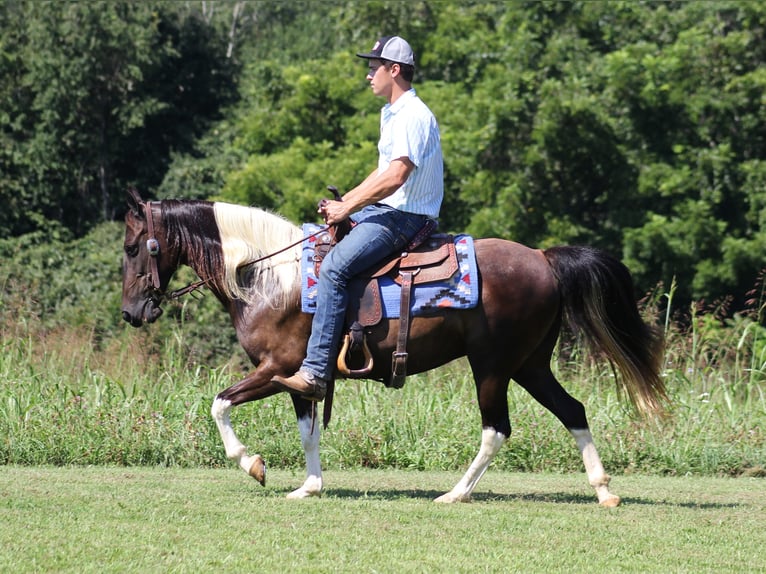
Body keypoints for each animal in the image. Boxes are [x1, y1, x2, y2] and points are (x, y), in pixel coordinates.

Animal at [120, 190, 664, 508]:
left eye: (132, 247)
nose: (131, 312)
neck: (267, 277)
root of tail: (544, 258)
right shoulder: (302, 379)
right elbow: (308, 433)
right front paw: (309, 486)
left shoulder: (278, 368)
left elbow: (219, 404)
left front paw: (252, 464)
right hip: (530, 364)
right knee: (573, 410)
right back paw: (603, 491)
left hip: (492, 365)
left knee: (497, 429)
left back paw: (455, 494)